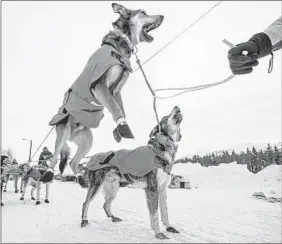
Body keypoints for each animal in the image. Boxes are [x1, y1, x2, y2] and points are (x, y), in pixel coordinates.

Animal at [42, 2, 164, 187]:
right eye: (143, 12)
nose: (162, 16)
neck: (119, 45)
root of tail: (72, 133)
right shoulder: (100, 86)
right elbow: (114, 107)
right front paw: (123, 127)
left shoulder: (116, 91)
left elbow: (119, 108)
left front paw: (120, 128)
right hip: (63, 132)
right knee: (55, 156)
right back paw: (49, 173)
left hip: (87, 140)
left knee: (73, 162)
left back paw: (80, 178)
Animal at [79, 107, 183, 240]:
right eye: (165, 117)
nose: (177, 107)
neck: (162, 148)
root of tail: (92, 157)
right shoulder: (152, 189)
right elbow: (154, 213)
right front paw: (158, 233)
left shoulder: (163, 188)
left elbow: (165, 211)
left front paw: (169, 227)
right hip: (96, 185)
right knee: (85, 203)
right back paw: (84, 221)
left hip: (114, 188)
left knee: (105, 204)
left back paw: (113, 218)